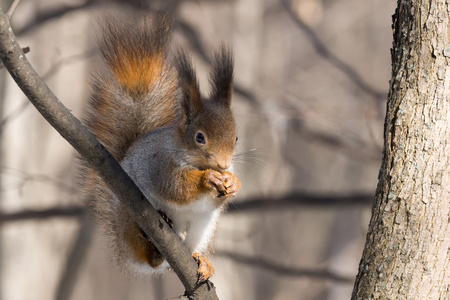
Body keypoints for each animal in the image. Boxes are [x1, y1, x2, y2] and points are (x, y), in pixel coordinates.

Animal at [82, 15, 241, 284]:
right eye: (200, 137)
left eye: (237, 138)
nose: (223, 165)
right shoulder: (161, 164)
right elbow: (176, 187)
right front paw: (208, 178)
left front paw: (233, 181)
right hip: (130, 217)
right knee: (147, 255)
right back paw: (154, 250)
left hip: (205, 229)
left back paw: (201, 261)